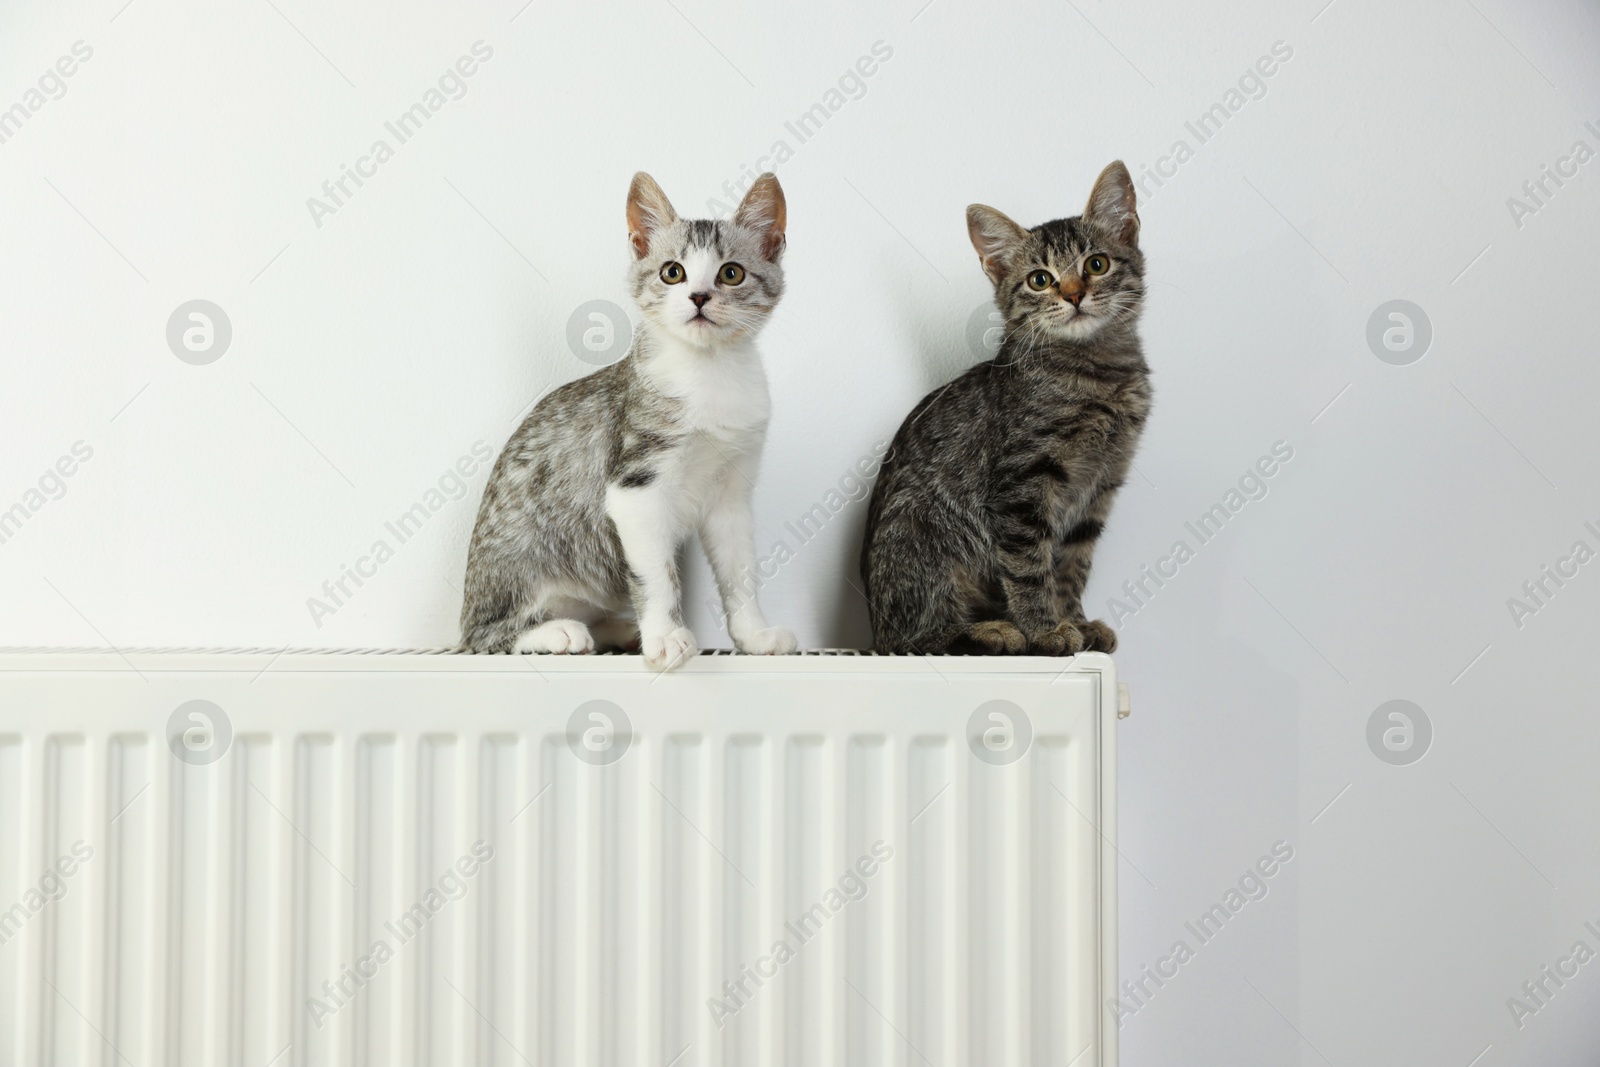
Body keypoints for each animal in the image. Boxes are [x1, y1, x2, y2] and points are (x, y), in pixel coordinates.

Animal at [457, 171, 793, 668]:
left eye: (731, 273)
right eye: (672, 272)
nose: (699, 296)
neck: (709, 372)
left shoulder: (732, 495)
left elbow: (740, 571)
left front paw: (753, 635)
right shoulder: (636, 486)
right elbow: (656, 576)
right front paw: (665, 637)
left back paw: (617, 629)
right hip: (511, 573)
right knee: (485, 635)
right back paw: (558, 632)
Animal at [864, 163, 1152, 655]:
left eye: (1096, 264)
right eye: (1040, 280)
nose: (1074, 295)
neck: (1098, 374)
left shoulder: (1100, 486)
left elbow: (1072, 567)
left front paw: (1075, 620)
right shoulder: (1021, 487)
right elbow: (1029, 568)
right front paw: (1045, 628)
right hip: (920, 531)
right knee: (912, 639)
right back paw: (993, 630)